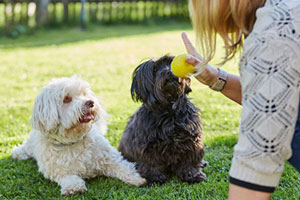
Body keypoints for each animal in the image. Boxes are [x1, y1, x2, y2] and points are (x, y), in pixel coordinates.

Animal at [11, 76, 146, 195]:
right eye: (66, 99)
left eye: (84, 94)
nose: (90, 102)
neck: (73, 140)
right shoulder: (57, 171)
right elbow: (68, 177)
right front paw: (74, 188)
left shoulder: (109, 157)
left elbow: (123, 166)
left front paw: (137, 178)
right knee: (27, 147)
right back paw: (18, 153)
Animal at [118, 55, 206, 185]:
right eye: (155, 69)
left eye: (170, 63)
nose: (170, 72)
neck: (169, 111)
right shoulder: (148, 146)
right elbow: (151, 163)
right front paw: (154, 178)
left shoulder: (191, 140)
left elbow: (190, 160)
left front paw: (193, 175)